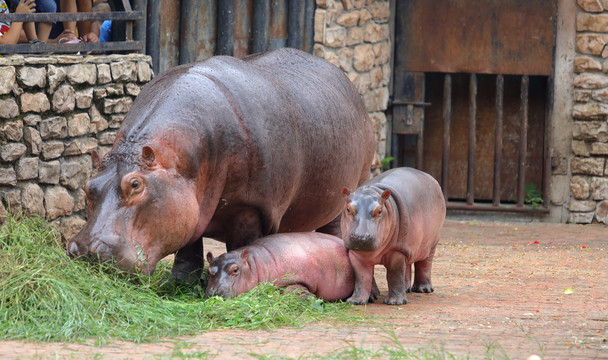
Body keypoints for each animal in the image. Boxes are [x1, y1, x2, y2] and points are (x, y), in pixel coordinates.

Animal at [64, 47, 372, 278]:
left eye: (136, 184)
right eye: (88, 185)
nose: (85, 251)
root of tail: (345, 80)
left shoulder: (251, 208)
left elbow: (244, 245)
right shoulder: (191, 205)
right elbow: (189, 248)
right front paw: (179, 284)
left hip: (346, 191)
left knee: (334, 230)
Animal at [342, 167, 446, 306]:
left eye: (379, 211)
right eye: (348, 209)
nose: (361, 237)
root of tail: (430, 177)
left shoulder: (397, 252)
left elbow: (395, 274)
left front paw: (395, 302)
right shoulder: (356, 254)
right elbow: (362, 277)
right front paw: (356, 301)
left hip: (431, 243)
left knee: (425, 263)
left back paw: (424, 289)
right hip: (409, 245)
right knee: (408, 265)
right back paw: (407, 289)